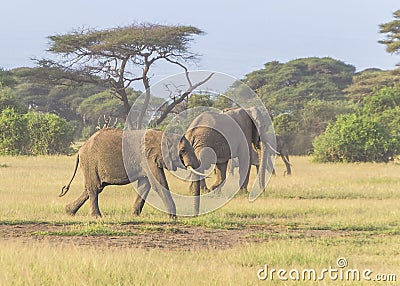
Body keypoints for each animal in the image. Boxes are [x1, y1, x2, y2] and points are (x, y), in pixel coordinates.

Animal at [57, 128, 202, 218]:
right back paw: (96, 217)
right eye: (182, 150)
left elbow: (144, 186)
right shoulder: (147, 158)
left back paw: (69, 211)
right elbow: (158, 184)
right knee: (94, 188)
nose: (195, 216)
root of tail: (80, 150)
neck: (163, 135)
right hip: (90, 161)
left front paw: (134, 215)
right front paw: (173, 217)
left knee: (93, 188)